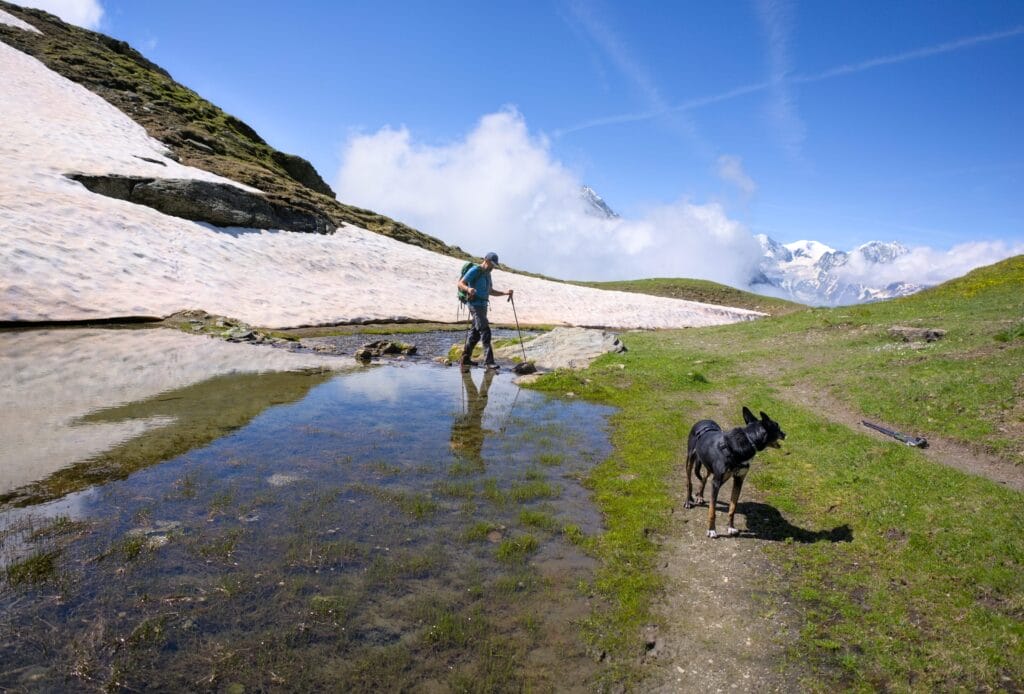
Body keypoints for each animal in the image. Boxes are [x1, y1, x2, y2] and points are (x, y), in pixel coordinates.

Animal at [688, 407, 782, 536]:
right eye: (777, 426)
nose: (785, 434)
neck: (748, 440)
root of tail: (704, 421)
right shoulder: (716, 482)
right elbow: (712, 510)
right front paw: (711, 530)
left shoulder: (738, 480)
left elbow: (732, 508)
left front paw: (731, 527)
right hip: (690, 459)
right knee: (689, 482)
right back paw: (688, 501)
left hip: (710, 468)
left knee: (704, 478)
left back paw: (700, 496)